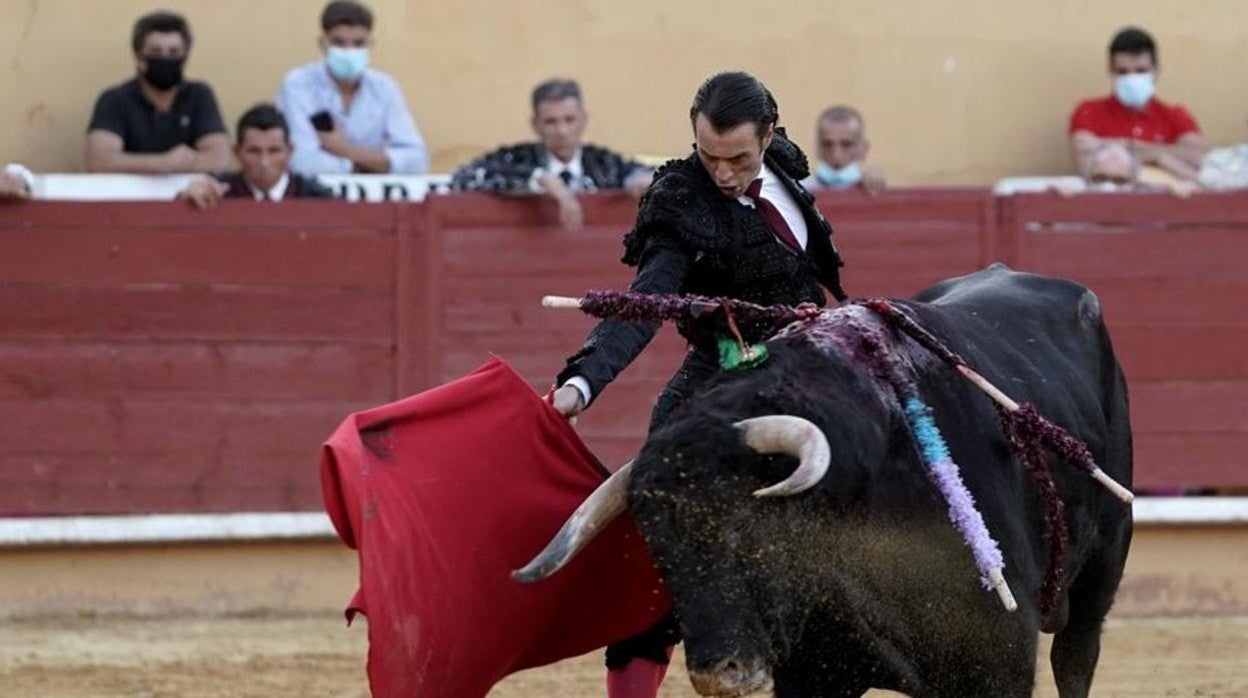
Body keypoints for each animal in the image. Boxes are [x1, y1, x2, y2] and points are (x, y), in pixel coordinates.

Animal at [516, 264, 1133, 694]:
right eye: (657, 550)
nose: (721, 674)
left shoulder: (996, 661)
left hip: (1103, 562)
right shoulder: (813, 675)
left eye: (748, 532)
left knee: (1076, 658)